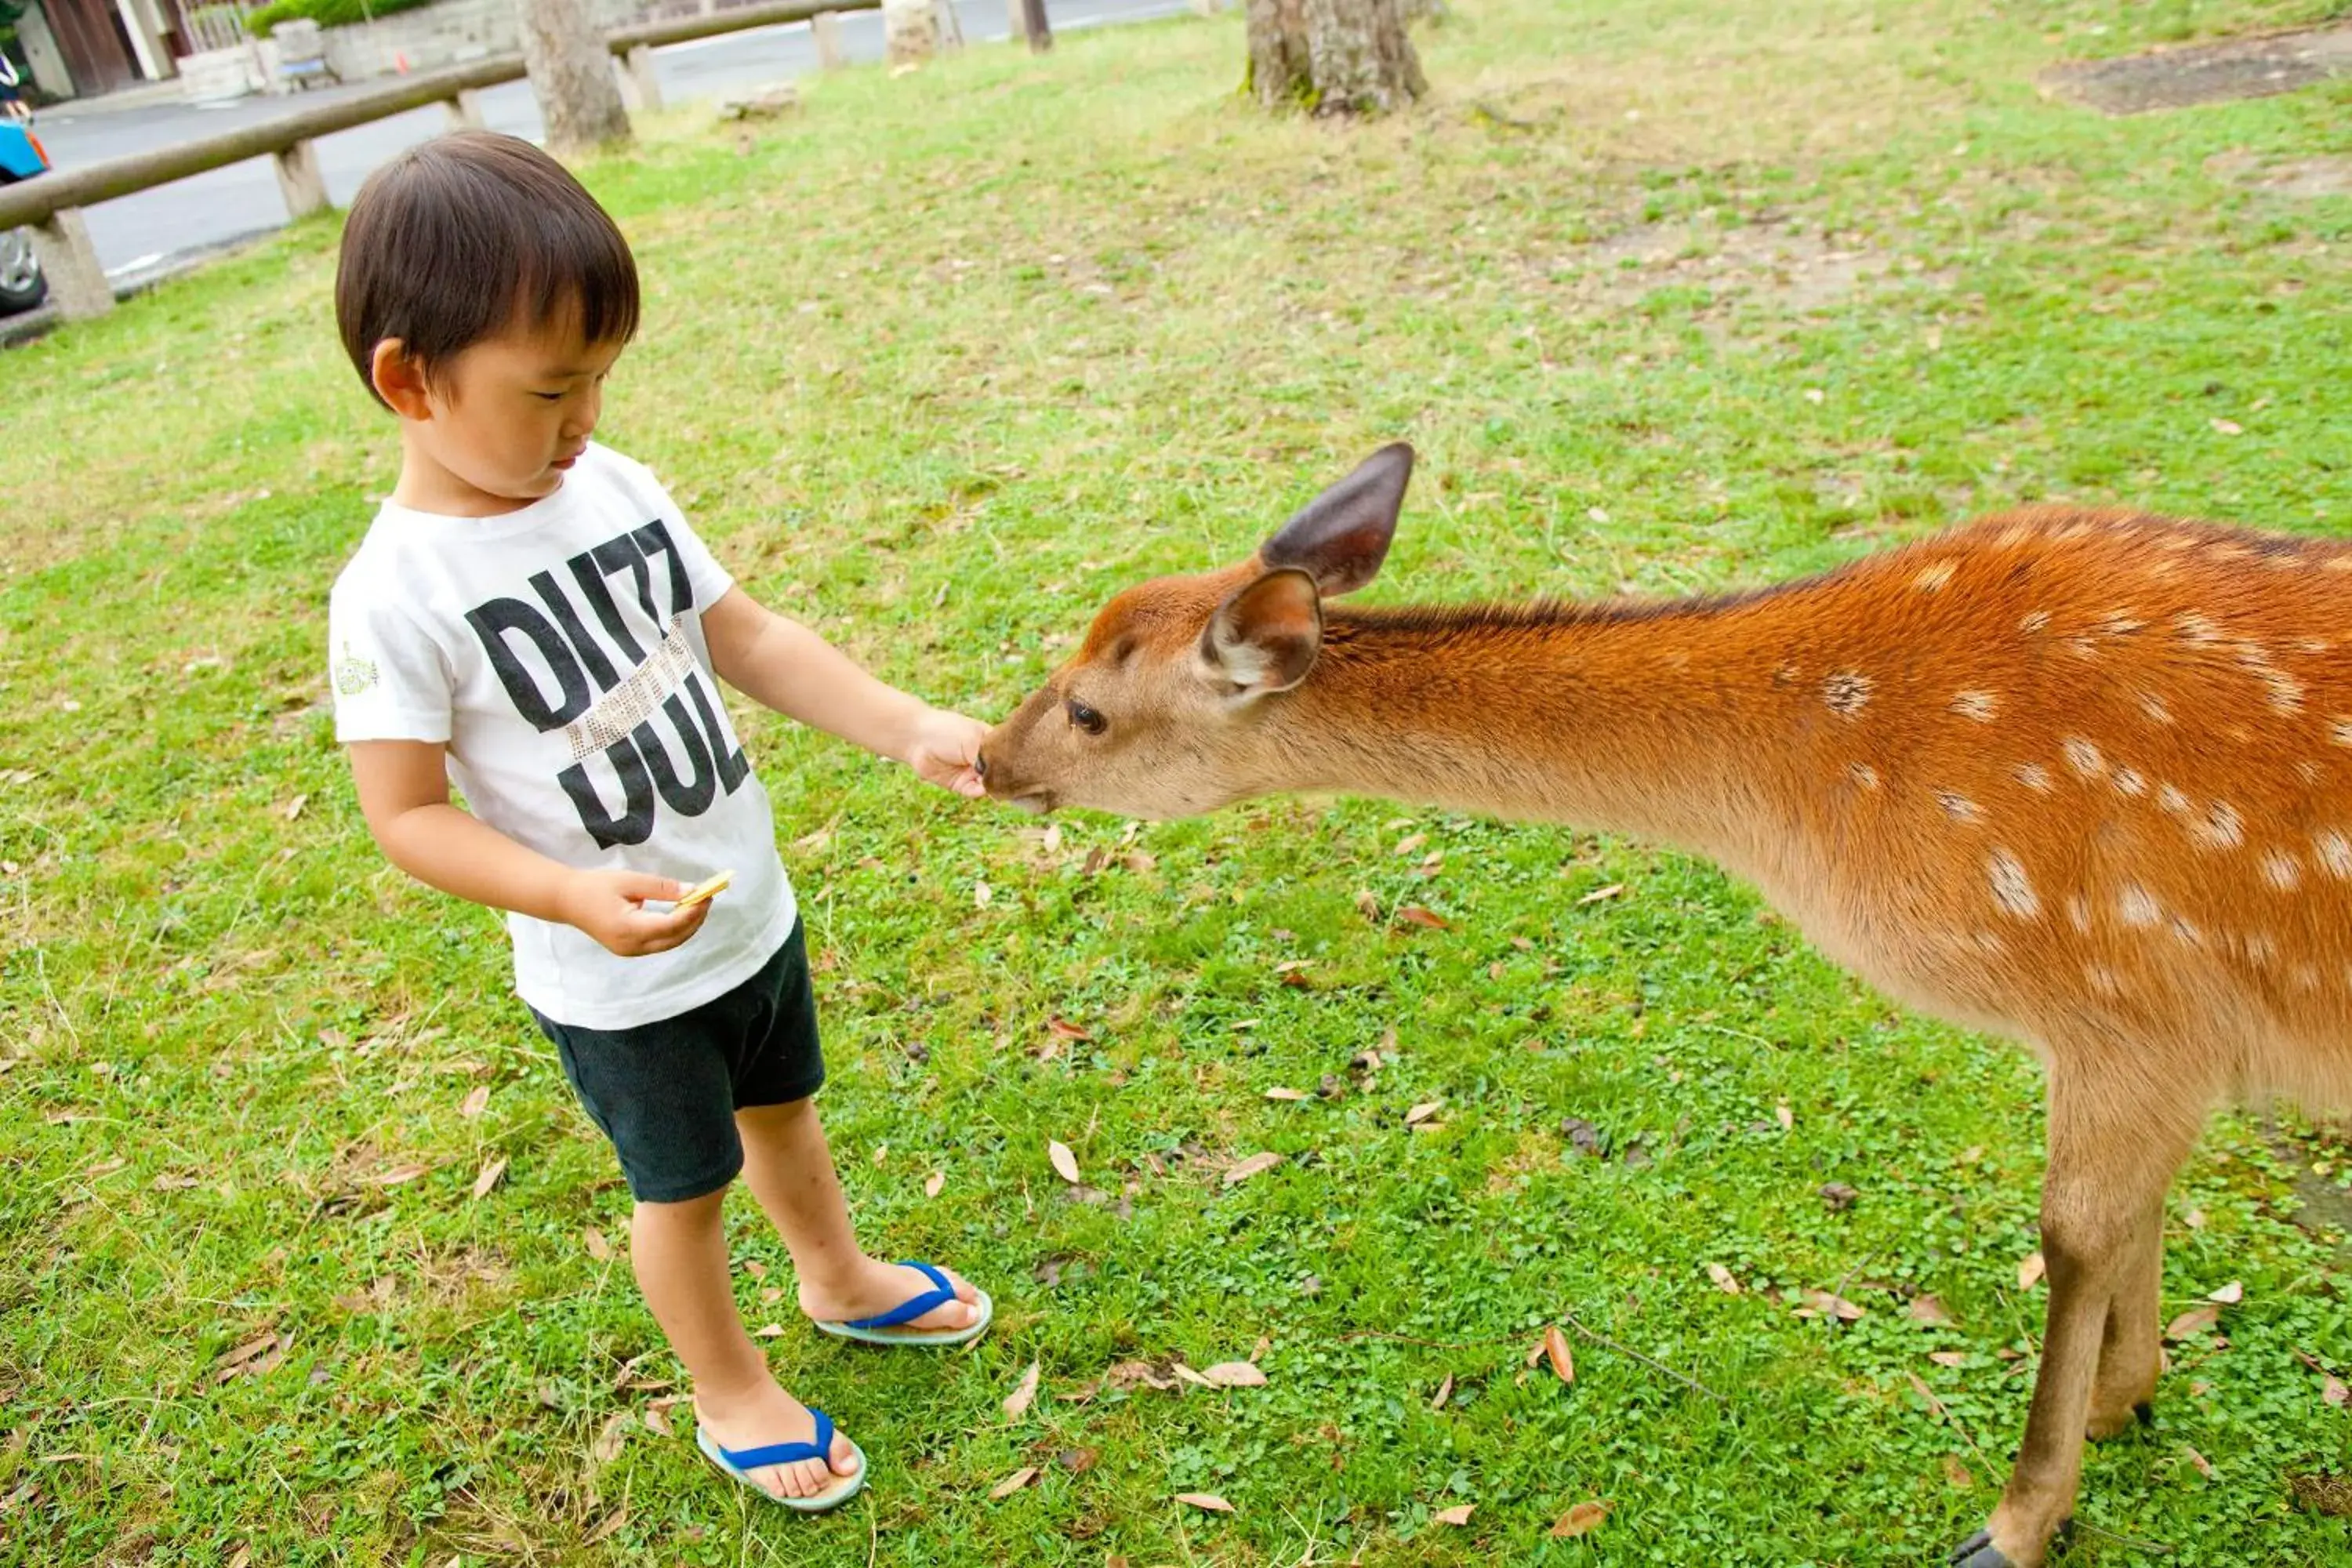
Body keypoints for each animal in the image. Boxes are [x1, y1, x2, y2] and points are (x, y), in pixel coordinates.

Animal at [974, 441, 2352, 1568]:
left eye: (1090, 709)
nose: (987, 757)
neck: (1811, 799)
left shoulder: (2129, 994)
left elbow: (2072, 1236)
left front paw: (2014, 1524)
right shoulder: (2159, 1037)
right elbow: (2133, 1216)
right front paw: (2132, 1397)